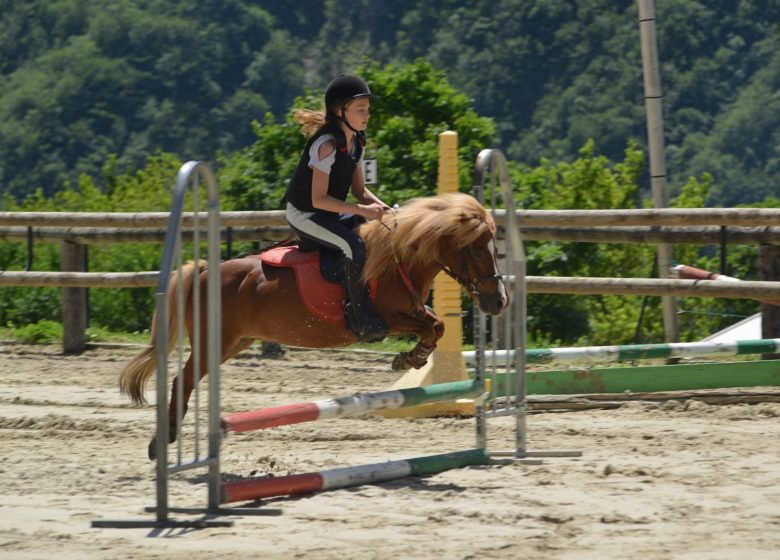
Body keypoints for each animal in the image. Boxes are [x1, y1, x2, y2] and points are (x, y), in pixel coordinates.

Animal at [119, 191, 508, 450]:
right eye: (477, 251)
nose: (499, 301)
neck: (399, 260)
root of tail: (202, 271)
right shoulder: (386, 318)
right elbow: (431, 326)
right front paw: (409, 358)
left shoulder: (412, 310)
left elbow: (436, 325)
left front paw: (411, 358)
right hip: (213, 341)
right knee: (181, 380)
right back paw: (163, 439)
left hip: (234, 342)